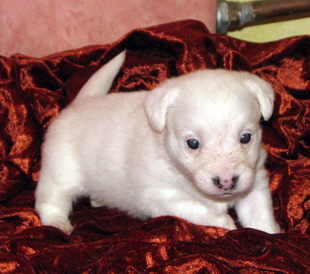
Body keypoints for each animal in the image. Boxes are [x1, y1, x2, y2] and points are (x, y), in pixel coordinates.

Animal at [35, 50, 280, 233]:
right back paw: (58, 224)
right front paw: (225, 224)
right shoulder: (163, 197)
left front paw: (269, 233)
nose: (227, 181)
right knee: (50, 202)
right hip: (60, 174)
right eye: (192, 144)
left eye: (246, 138)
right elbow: (199, 209)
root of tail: (80, 102)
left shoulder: (255, 184)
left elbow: (260, 215)